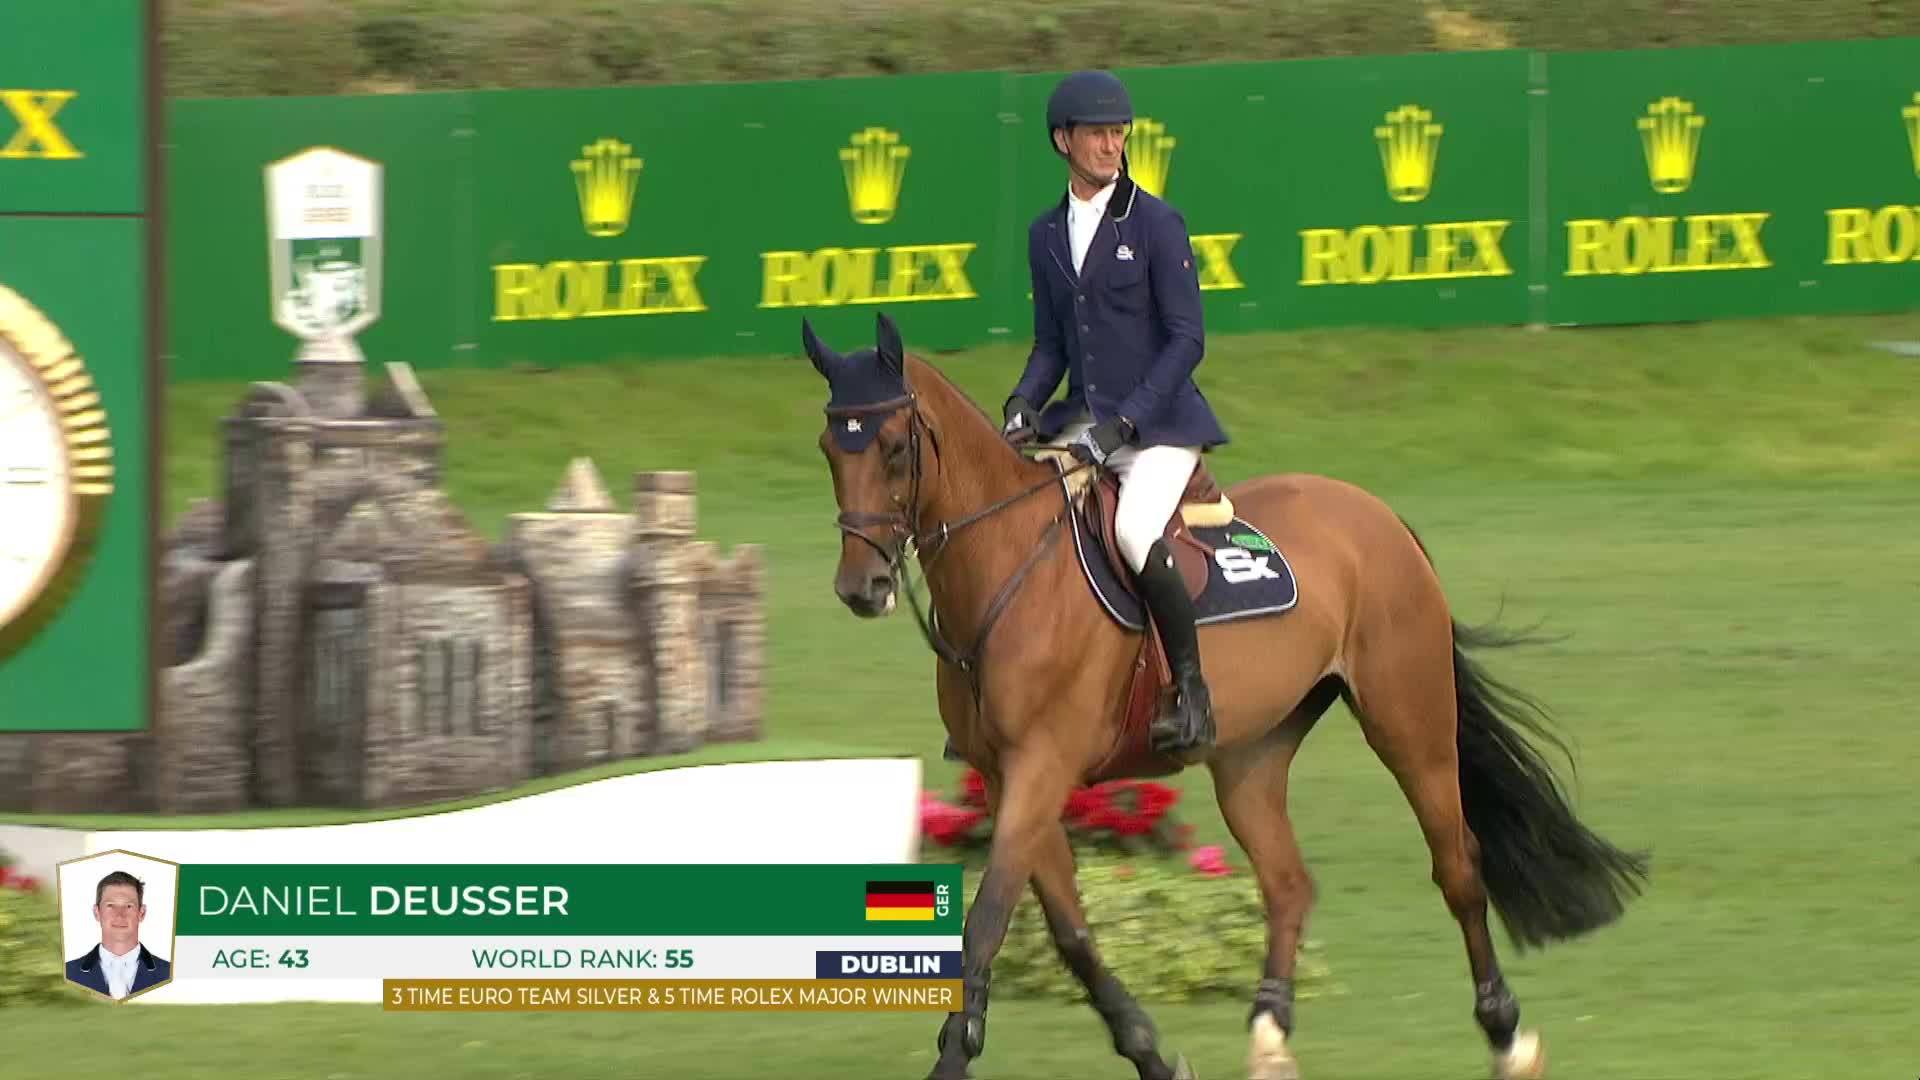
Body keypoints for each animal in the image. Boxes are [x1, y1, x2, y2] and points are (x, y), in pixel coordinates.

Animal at [800, 312, 1649, 1080]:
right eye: (829, 448)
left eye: (893, 446)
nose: (861, 587)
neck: (1009, 566)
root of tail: (1378, 514)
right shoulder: (1011, 776)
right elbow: (1070, 932)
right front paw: (1149, 1053)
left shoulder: (1042, 767)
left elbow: (984, 924)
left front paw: (954, 1057)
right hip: (1251, 754)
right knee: (1288, 882)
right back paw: (1270, 1038)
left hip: (1409, 722)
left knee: (1458, 866)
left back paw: (1507, 1037)